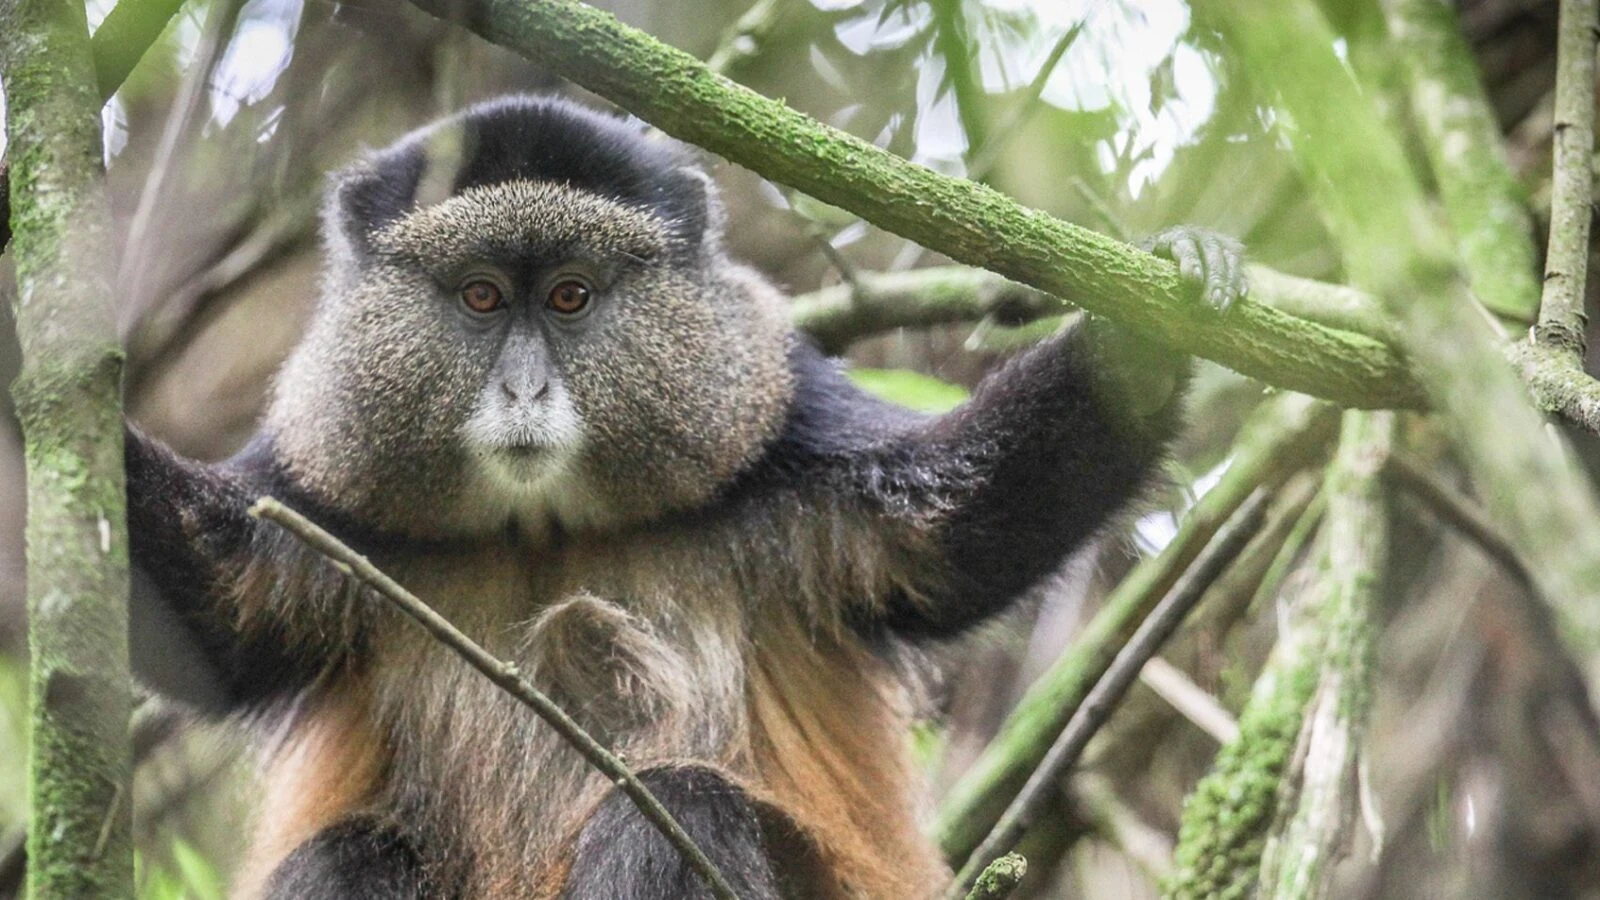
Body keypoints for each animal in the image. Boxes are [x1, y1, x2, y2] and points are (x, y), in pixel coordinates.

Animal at [124, 95, 1245, 899]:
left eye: (570, 295)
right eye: (481, 296)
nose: (524, 389)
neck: (542, 529)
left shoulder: (786, 435)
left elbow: (957, 533)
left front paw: (1151, 325)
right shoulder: (319, 492)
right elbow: (211, 621)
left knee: (682, 804)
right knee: (350, 852)